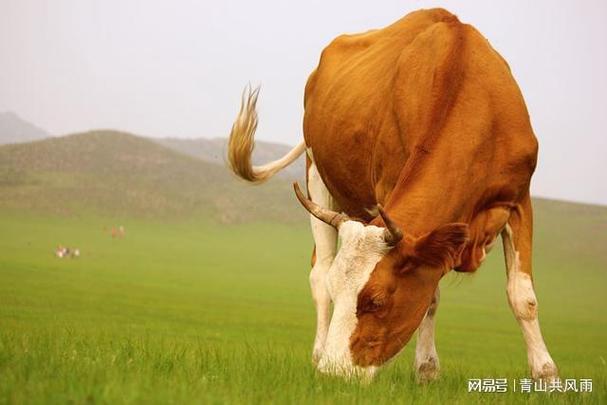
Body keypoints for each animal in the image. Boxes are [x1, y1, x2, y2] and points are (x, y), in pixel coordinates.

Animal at [226, 8, 560, 382]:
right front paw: (427, 369)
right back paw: (317, 352)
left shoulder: (519, 201)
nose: (333, 374)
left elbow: (522, 297)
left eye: (377, 301)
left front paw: (546, 375)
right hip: (317, 177)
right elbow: (430, 296)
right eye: (341, 294)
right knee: (319, 272)